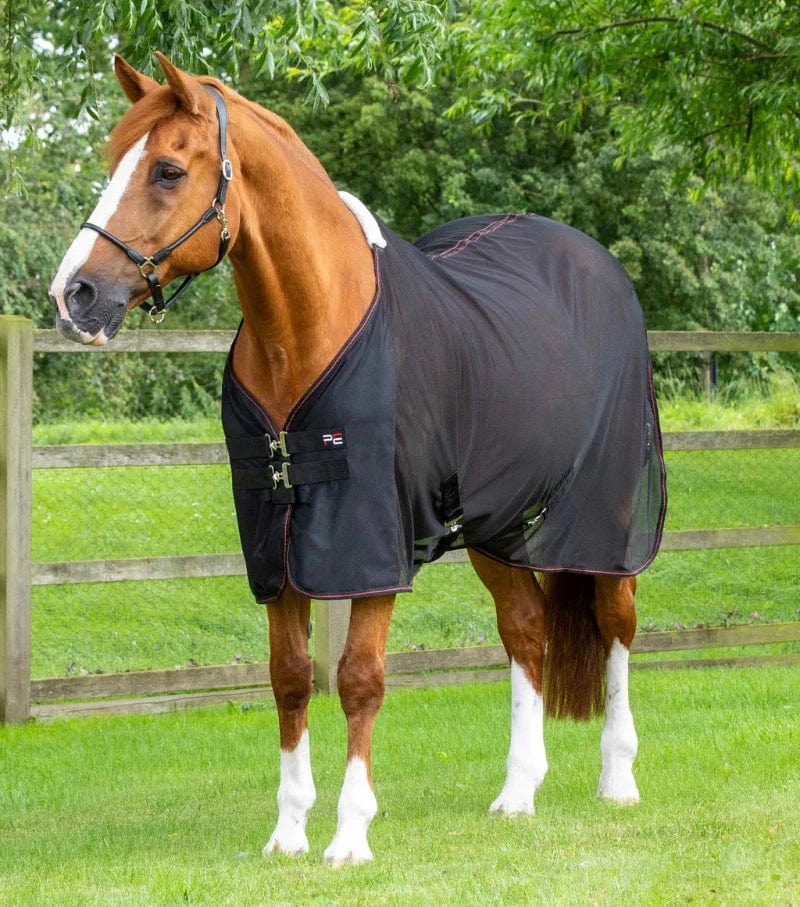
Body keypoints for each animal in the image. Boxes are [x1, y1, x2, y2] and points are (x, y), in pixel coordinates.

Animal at [49, 53, 666, 865]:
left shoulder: (371, 542)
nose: (74, 296)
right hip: (494, 525)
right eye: (113, 162)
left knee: (617, 625)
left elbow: (360, 679)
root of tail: (597, 264)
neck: (311, 325)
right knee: (525, 628)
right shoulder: (278, 539)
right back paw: (517, 792)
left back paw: (619, 778)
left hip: (605, 518)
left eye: (168, 171)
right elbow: (289, 678)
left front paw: (349, 835)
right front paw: (287, 832)